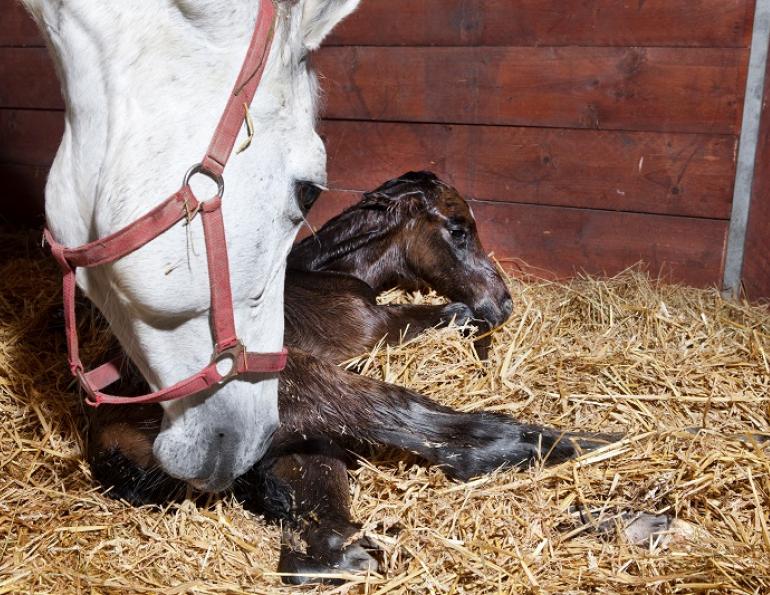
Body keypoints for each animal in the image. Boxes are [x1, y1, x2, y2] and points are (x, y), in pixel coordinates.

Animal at [87, 172, 615, 583]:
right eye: (459, 230)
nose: (503, 302)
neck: (324, 274)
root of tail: (109, 441)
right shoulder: (375, 327)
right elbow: (455, 315)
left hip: (293, 446)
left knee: (313, 545)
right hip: (309, 390)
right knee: (447, 431)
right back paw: (591, 445)